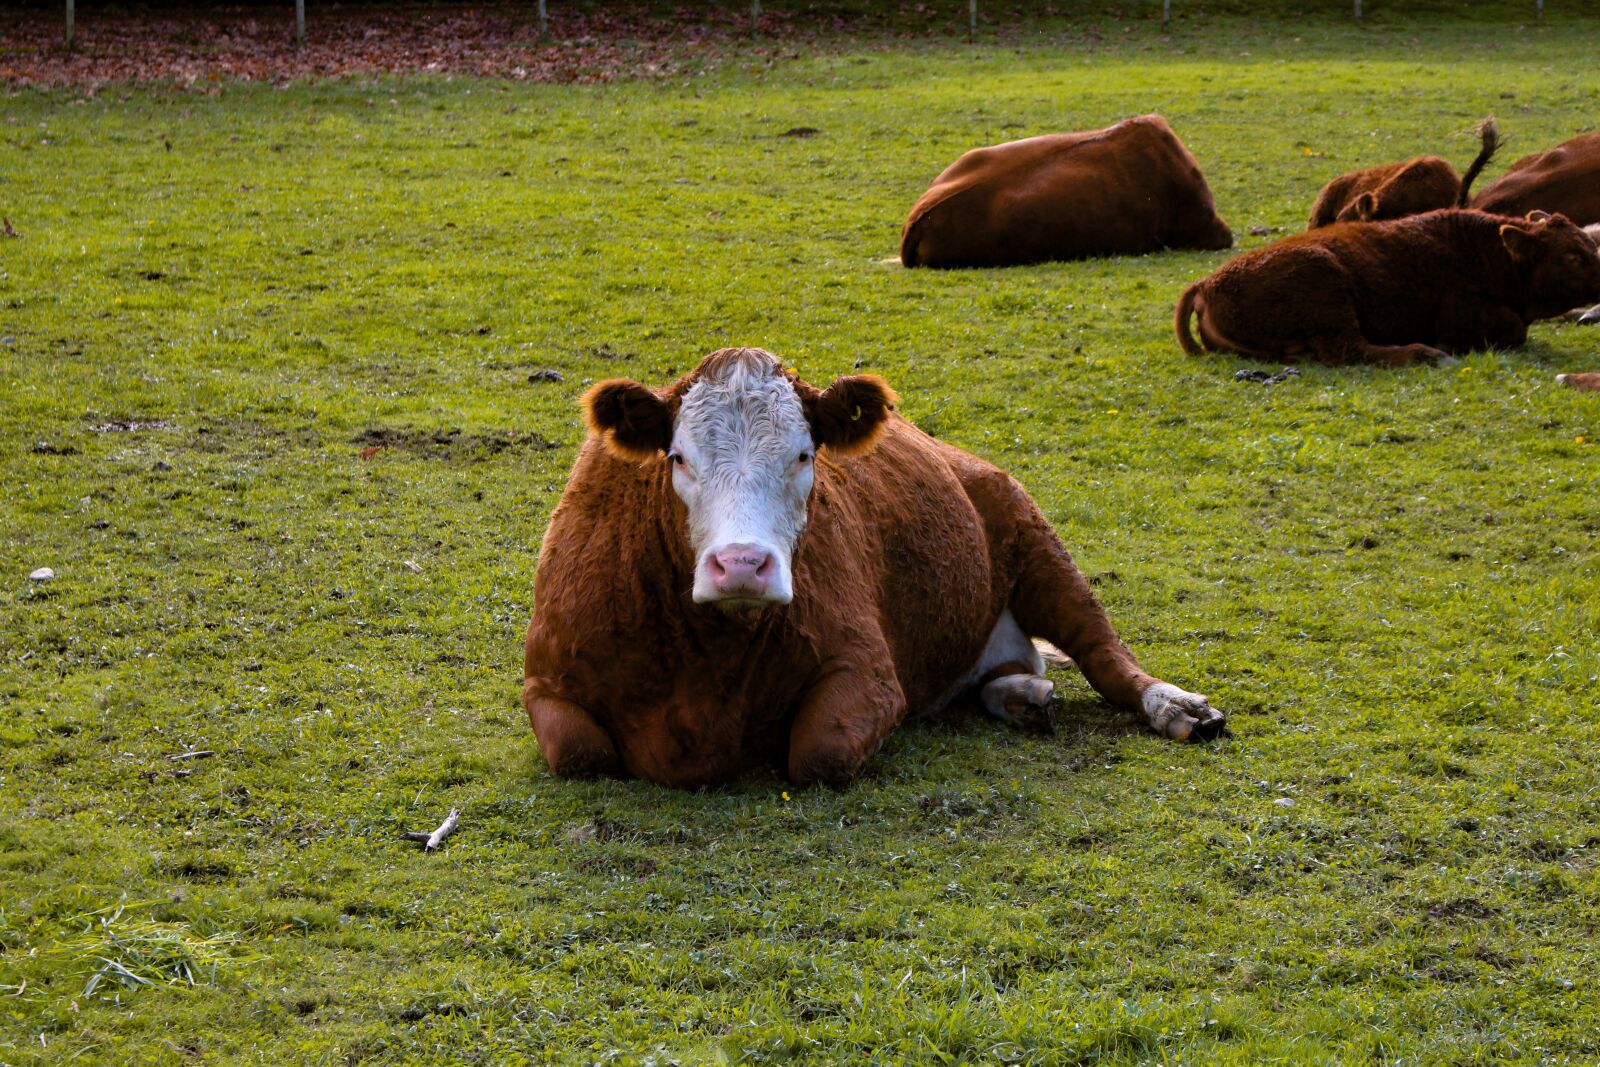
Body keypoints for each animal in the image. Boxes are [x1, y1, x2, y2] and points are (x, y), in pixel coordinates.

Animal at [523, 347, 1226, 789]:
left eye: (804, 454)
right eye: (677, 458)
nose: (742, 565)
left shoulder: (869, 673)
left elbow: (821, 753)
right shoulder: (546, 684)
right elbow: (582, 753)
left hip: (1035, 542)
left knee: (1101, 649)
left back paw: (1176, 707)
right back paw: (1023, 696)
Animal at [1174, 209, 1600, 366]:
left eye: (1589, 244)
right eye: (1571, 255)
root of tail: (1206, 284)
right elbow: (1515, 330)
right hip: (1327, 283)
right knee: (1351, 350)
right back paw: (1427, 352)